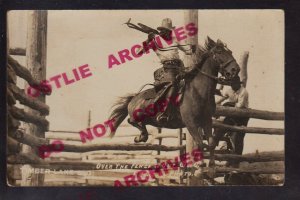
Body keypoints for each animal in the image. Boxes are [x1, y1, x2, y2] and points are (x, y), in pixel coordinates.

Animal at [108, 36, 239, 169]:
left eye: (230, 52)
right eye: (219, 52)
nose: (235, 69)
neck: (197, 92)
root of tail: (134, 98)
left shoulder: (207, 120)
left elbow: (211, 142)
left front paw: (211, 163)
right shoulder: (190, 122)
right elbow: (200, 142)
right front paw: (200, 163)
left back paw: (142, 136)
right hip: (138, 115)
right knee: (131, 121)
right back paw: (141, 136)